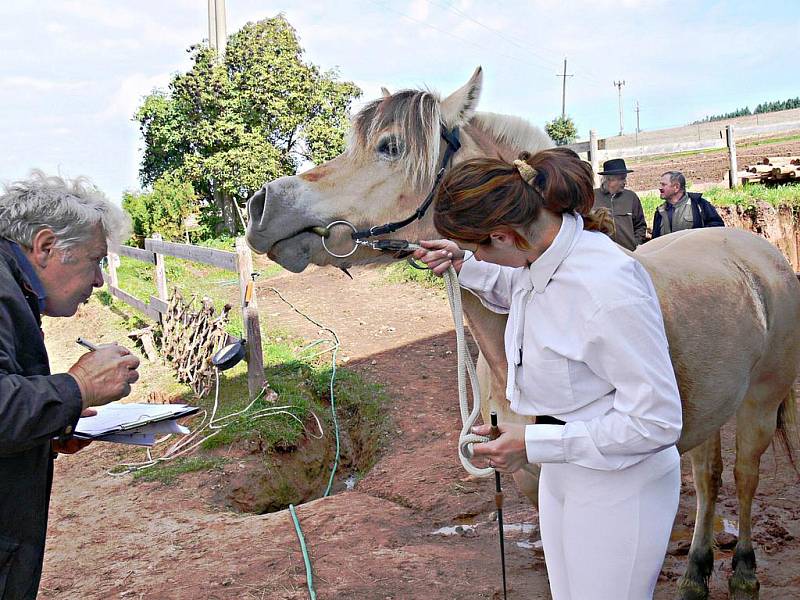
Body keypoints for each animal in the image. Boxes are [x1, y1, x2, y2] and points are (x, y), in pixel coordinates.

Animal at [247, 68, 800, 596]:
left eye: (390, 146)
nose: (260, 205)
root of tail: (761, 253)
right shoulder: (532, 484)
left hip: (758, 404)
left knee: (744, 478)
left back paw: (744, 570)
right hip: (712, 410)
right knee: (708, 481)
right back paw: (695, 574)